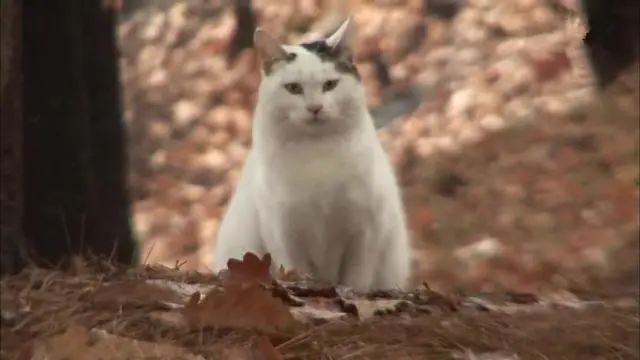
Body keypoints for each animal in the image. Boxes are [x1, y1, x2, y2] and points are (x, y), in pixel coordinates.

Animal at [211, 17, 410, 292]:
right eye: (293, 88)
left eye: (330, 84)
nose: (315, 108)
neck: (318, 154)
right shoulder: (284, 233)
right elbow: (296, 270)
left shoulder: (366, 230)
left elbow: (357, 278)